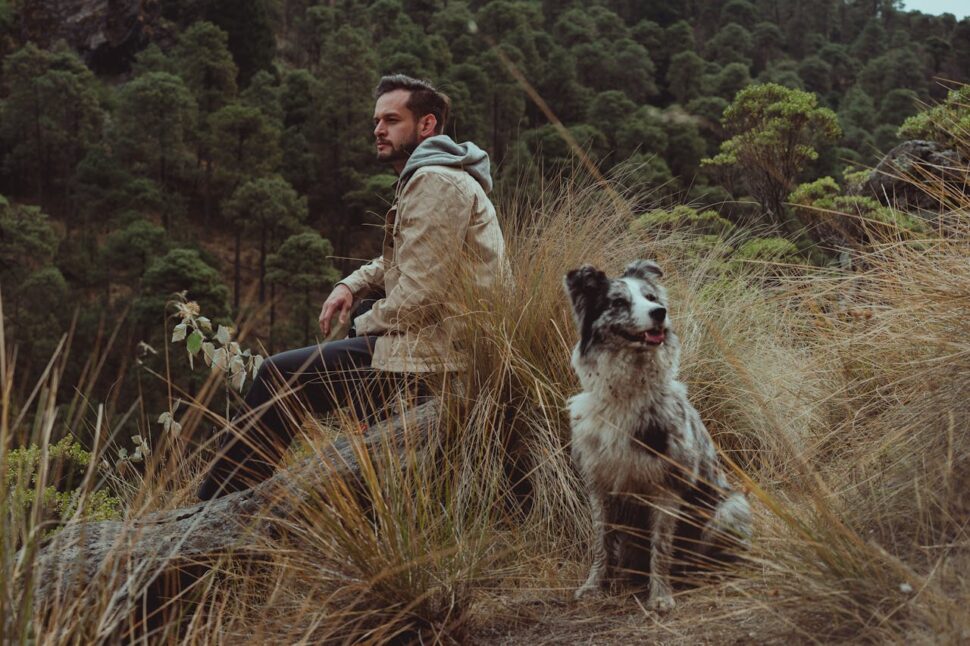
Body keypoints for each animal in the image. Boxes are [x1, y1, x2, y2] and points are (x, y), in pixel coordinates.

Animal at [564, 260, 752, 612]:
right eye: (618, 302)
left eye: (651, 297)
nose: (659, 312)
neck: (626, 394)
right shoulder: (598, 484)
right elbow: (600, 542)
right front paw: (593, 586)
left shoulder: (667, 486)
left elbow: (660, 547)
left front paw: (661, 595)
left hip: (732, 508)